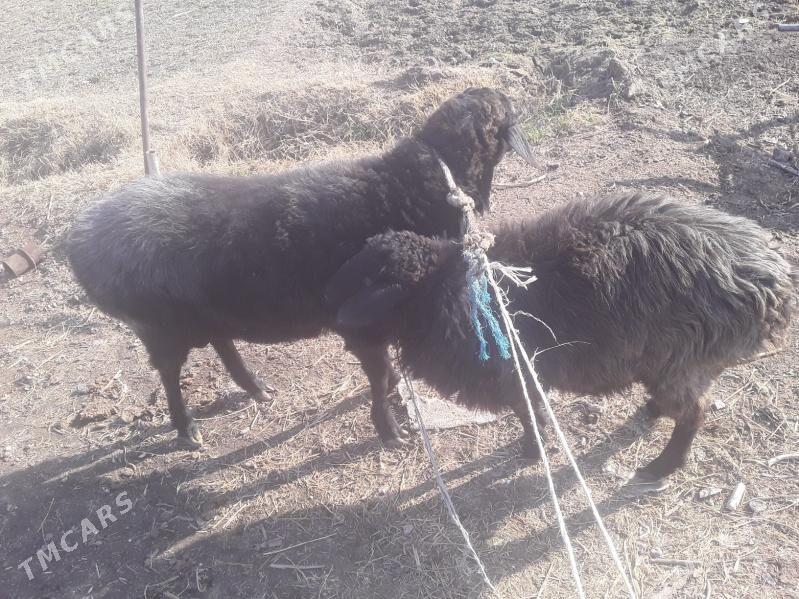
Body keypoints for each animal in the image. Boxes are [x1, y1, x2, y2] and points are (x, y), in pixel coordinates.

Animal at [66, 88, 537, 449]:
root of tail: (76, 239)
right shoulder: (362, 324)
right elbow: (378, 378)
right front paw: (391, 434)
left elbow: (385, 373)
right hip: (159, 326)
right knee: (168, 374)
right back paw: (188, 432)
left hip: (206, 311)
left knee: (222, 343)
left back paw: (259, 391)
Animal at [326, 192, 797, 488]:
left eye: (372, 282)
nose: (334, 317)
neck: (452, 291)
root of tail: (770, 278)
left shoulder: (517, 373)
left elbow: (527, 414)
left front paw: (531, 452)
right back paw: (650, 412)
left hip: (685, 358)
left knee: (694, 412)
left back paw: (661, 466)